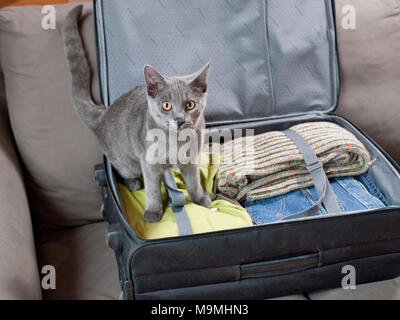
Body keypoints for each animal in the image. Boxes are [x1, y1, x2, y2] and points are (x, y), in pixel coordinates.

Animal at [61, 6, 212, 224]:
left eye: (190, 104)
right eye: (166, 105)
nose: (179, 119)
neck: (175, 143)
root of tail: (103, 113)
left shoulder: (191, 160)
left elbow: (193, 182)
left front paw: (201, 199)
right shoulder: (148, 163)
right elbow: (152, 191)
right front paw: (153, 212)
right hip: (127, 160)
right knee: (120, 172)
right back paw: (133, 183)